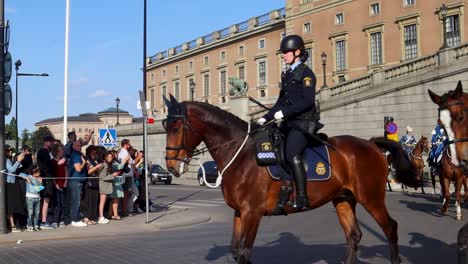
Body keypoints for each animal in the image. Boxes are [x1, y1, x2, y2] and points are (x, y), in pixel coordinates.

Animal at [163, 96, 418, 264]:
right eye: (165, 126)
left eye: (176, 127)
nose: (171, 166)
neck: (241, 153)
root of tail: (371, 144)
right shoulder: (239, 213)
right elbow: (236, 250)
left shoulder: (252, 213)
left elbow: (244, 252)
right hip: (344, 199)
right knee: (354, 235)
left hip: (371, 197)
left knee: (390, 228)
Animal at [428, 81, 468, 221]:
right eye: (440, 123)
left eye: (460, 117)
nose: (457, 161)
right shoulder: (443, 177)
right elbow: (447, 194)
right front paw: (444, 208)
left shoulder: (460, 178)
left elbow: (457, 194)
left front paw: (458, 212)